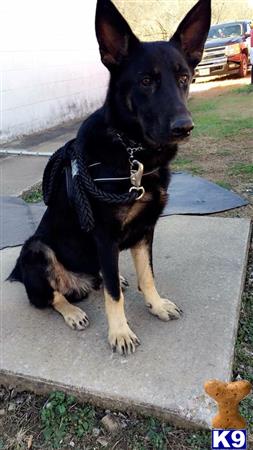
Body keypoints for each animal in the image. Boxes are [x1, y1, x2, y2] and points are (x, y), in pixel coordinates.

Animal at [9, 0, 211, 356]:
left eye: (184, 77)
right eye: (146, 80)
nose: (184, 127)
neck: (132, 152)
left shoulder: (144, 230)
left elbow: (147, 276)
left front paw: (156, 305)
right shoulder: (104, 236)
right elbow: (113, 297)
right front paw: (119, 332)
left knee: (103, 277)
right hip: (35, 249)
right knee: (52, 296)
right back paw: (73, 310)